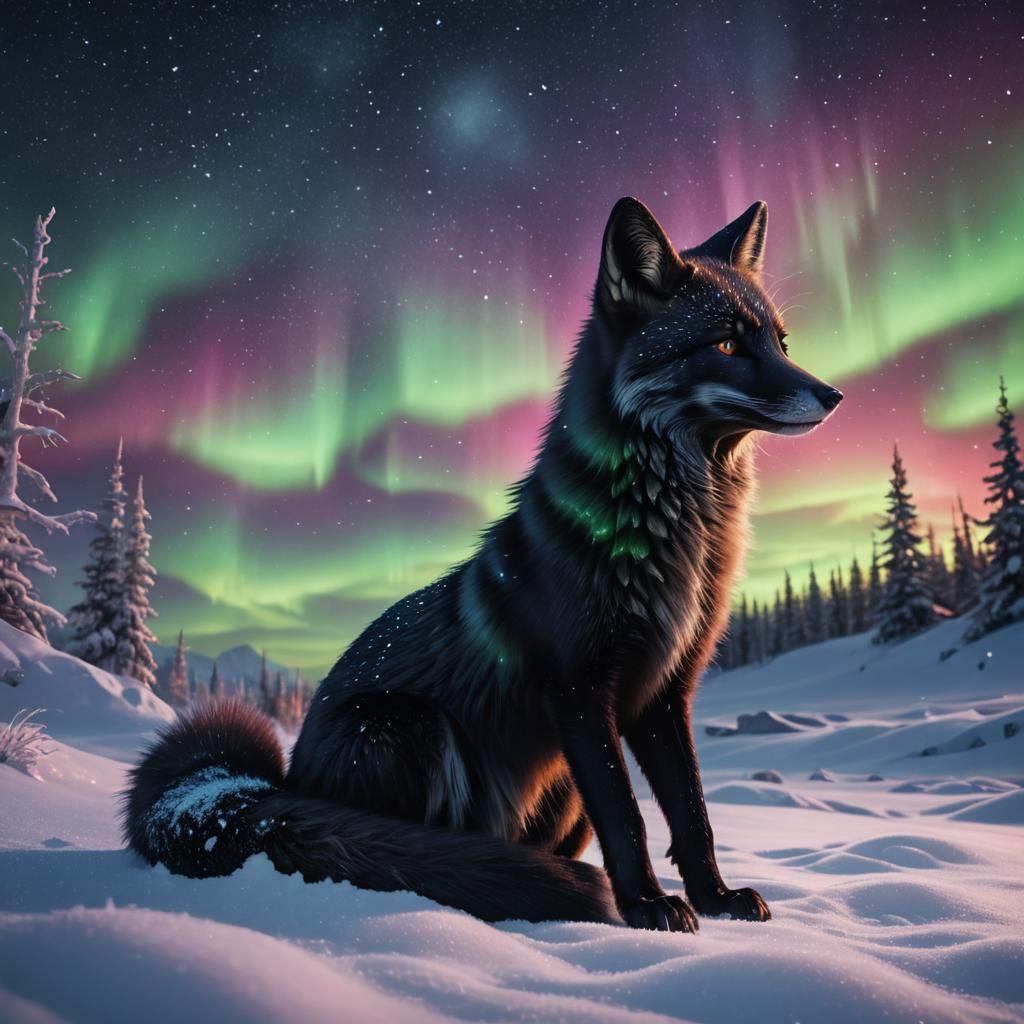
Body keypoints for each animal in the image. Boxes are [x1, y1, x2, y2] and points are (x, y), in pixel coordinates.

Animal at [124, 196, 842, 931]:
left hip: (557, 785)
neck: (680, 540)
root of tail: (277, 787)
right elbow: (629, 818)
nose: (832, 394)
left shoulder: (664, 694)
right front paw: (645, 908)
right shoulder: (580, 690)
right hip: (412, 728)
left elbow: (693, 816)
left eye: (781, 343)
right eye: (726, 345)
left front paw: (716, 901)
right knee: (407, 848)